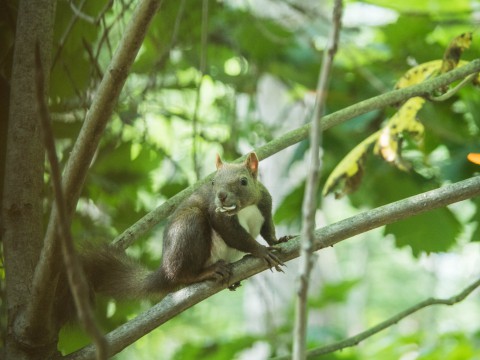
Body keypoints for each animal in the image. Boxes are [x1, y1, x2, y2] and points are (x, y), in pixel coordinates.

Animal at [58, 150, 286, 322]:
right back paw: (206, 272)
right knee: (182, 275)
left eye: (243, 181)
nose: (221, 196)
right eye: (213, 182)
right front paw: (261, 250)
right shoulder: (219, 217)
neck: (245, 208)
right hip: (188, 229)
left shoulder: (265, 205)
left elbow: (268, 229)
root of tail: (165, 268)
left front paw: (277, 241)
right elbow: (237, 237)